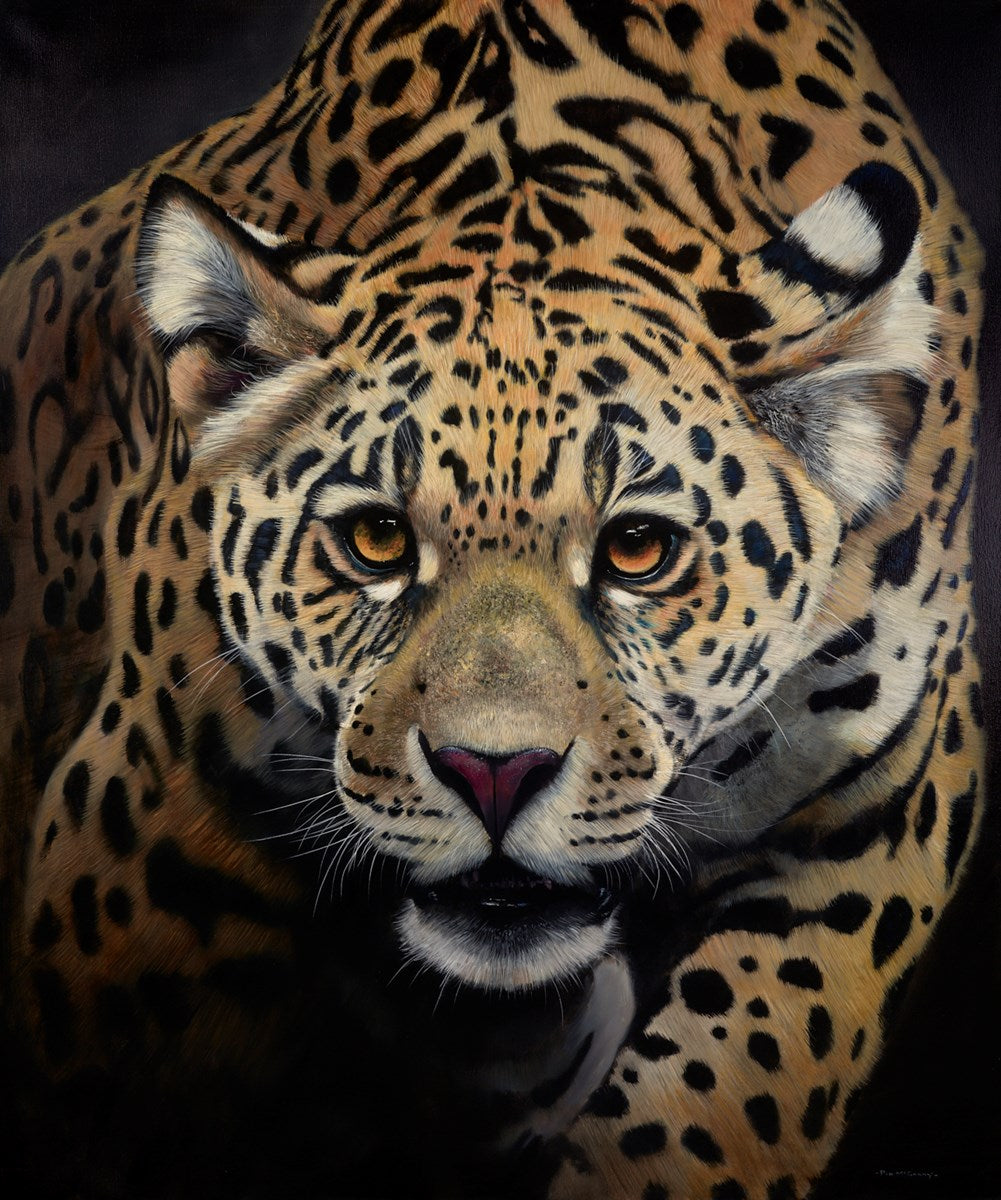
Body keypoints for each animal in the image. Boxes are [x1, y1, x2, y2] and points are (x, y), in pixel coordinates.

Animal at [0, 1, 986, 1197]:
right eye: (376, 538)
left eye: (638, 549)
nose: (494, 773)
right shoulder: (142, 834)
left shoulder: (869, 815)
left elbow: (730, 1086)